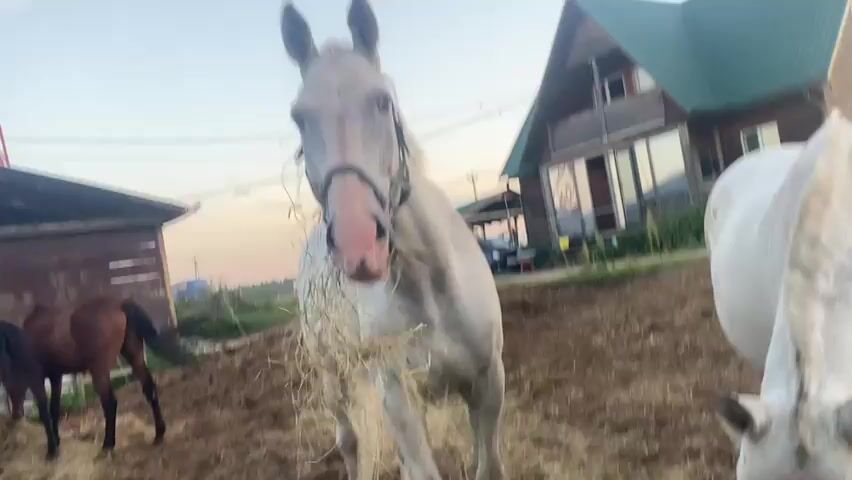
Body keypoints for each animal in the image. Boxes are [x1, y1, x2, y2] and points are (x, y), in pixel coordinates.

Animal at [7, 297, 192, 456]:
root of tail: (119, 304)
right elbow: (54, 410)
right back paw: (158, 434)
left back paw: (107, 446)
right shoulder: (56, 377)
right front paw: (57, 443)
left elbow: (45, 411)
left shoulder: (37, 378)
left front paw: (52, 451)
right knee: (149, 388)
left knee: (110, 403)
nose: (15, 414)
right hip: (134, 356)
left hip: (100, 370)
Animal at [282, 1, 506, 479]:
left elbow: (488, 466)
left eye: (383, 101)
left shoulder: (488, 382)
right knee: (349, 440)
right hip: (332, 373)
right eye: (299, 118)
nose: (358, 244)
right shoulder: (398, 396)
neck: (432, 286)